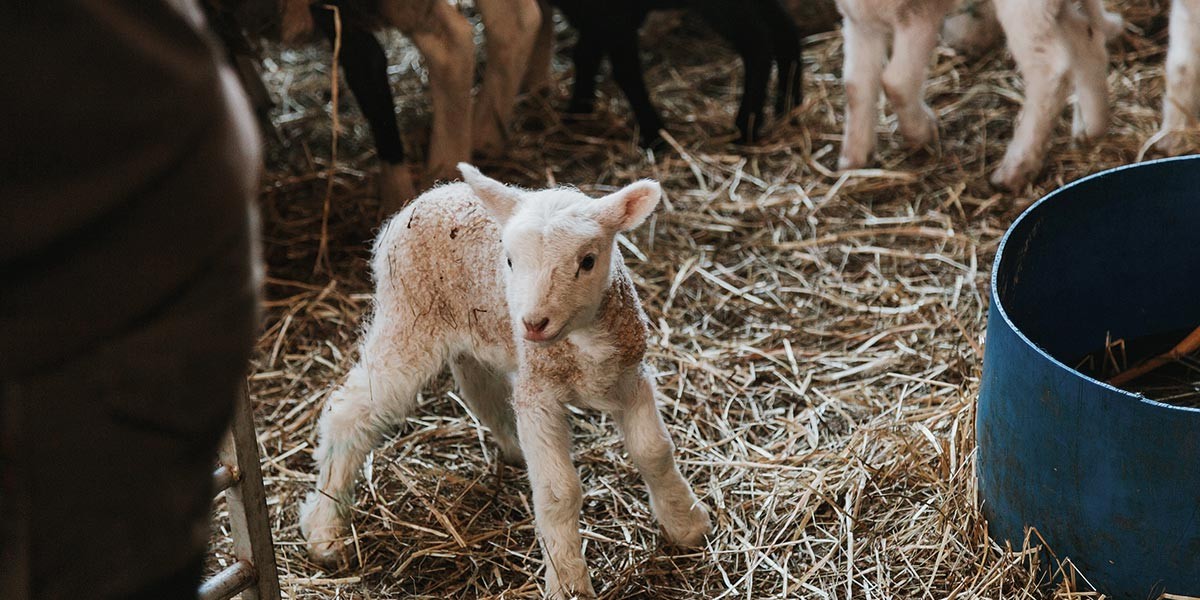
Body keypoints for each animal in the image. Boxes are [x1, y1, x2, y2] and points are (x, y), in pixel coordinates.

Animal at [298, 164, 712, 599]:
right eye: (509, 260)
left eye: (587, 261)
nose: (532, 323)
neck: (581, 342)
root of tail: (428, 196)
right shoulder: (539, 393)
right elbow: (559, 490)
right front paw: (568, 582)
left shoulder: (630, 377)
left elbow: (655, 452)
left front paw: (687, 524)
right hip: (408, 319)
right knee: (349, 414)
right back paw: (325, 528)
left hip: (475, 332)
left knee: (479, 387)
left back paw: (513, 447)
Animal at [543, 0, 805, 147]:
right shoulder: (594, 17)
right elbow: (585, 57)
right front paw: (577, 112)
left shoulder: (611, 16)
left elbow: (625, 71)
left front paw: (654, 134)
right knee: (785, 29)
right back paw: (788, 107)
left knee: (758, 44)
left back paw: (745, 128)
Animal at [835, 0, 1122, 190]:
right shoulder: (859, 20)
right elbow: (855, 87)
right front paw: (853, 159)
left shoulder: (918, 14)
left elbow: (895, 81)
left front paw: (920, 134)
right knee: (1087, 35)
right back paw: (1092, 128)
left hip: (1025, 8)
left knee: (1049, 70)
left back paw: (1016, 168)